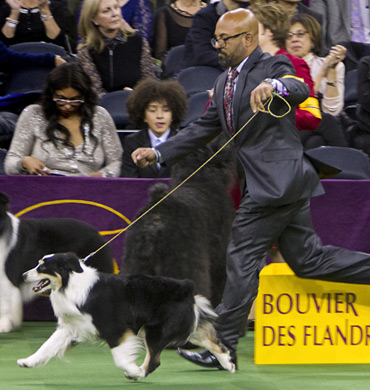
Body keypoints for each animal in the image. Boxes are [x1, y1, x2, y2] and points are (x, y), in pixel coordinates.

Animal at [17, 251, 236, 380]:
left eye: (42, 267)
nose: (23, 275)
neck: (70, 285)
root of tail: (186, 287)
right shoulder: (71, 326)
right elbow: (47, 346)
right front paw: (28, 361)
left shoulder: (116, 329)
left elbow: (120, 357)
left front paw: (133, 370)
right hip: (187, 327)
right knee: (216, 344)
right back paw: (228, 364)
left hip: (155, 331)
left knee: (154, 360)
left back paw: (138, 374)